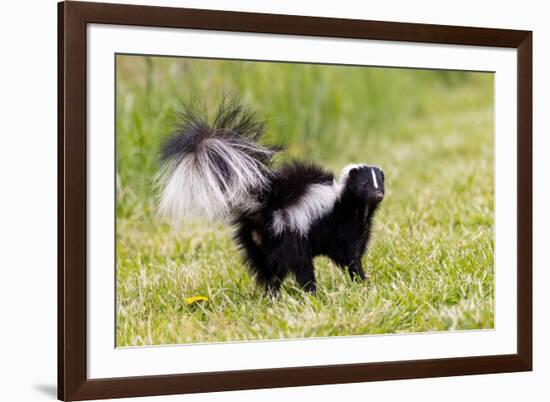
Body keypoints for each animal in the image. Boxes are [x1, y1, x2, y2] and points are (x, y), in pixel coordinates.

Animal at [157, 99, 386, 296]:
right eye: (365, 184)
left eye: (381, 183)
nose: (378, 195)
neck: (353, 206)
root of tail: (266, 207)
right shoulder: (341, 228)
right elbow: (349, 257)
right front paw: (363, 281)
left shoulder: (359, 229)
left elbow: (353, 254)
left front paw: (362, 282)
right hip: (289, 236)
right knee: (300, 267)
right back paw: (311, 292)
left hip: (258, 243)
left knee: (268, 271)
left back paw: (272, 295)